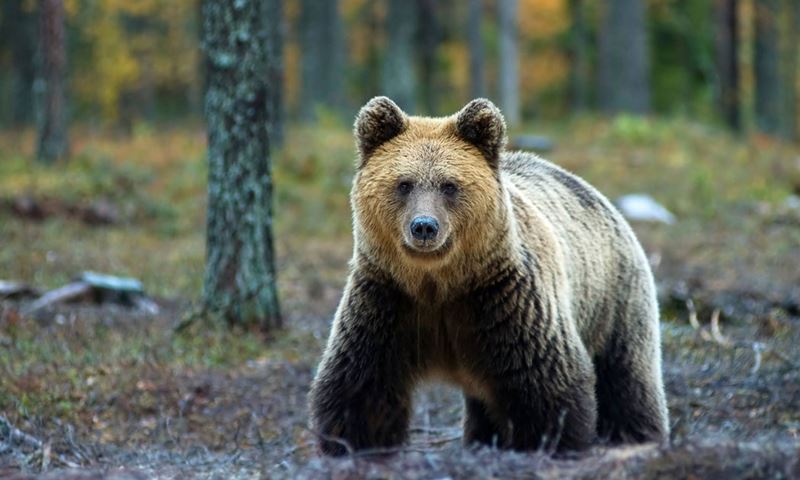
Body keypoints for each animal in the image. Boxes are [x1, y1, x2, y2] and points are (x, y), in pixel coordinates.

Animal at [308, 96, 669, 455]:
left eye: (449, 185)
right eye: (404, 184)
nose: (424, 226)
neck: (439, 283)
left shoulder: (505, 302)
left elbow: (547, 387)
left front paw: (551, 444)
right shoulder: (388, 301)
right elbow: (362, 386)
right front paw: (354, 444)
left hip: (614, 297)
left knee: (627, 377)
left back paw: (636, 436)